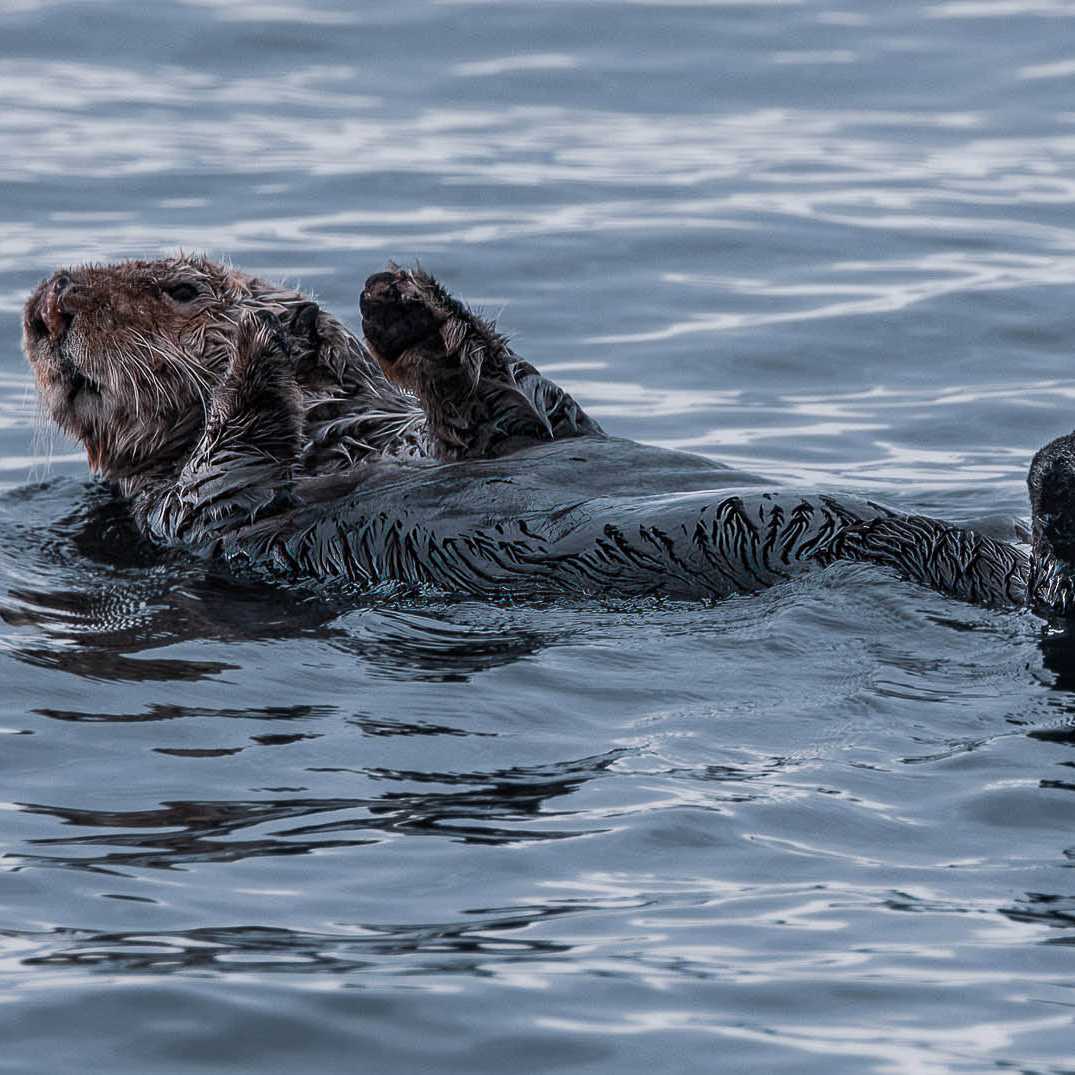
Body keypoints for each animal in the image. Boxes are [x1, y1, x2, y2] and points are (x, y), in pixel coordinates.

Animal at [20, 255, 1067, 611]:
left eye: (177, 286)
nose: (45, 308)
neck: (340, 435)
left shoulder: (500, 429)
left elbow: (518, 407)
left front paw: (397, 304)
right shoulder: (191, 514)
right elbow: (225, 472)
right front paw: (264, 340)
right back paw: (1058, 474)